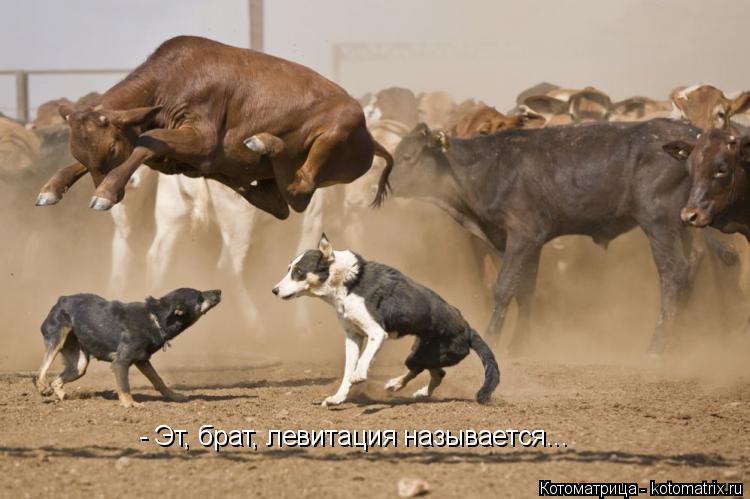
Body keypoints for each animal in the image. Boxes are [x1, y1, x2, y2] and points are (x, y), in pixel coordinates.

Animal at [33, 290, 222, 406]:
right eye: (199, 297)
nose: (219, 290)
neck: (156, 318)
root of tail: (61, 299)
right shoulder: (120, 362)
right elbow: (124, 385)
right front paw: (129, 403)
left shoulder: (142, 360)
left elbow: (158, 380)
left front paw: (174, 396)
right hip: (57, 338)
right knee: (40, 371)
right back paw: (42, 387)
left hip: (79, 366)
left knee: (56, 380)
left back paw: (61, 395)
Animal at [274, 234, 502, 406]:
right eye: (289, 269)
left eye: (299, 272)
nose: (274, 290)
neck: (349, 281)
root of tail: (469, 330)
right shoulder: (353, 337)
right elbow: (347, 369)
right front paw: (338, 398)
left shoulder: (377, 332)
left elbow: (362, 361)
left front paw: (359, 375)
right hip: (421, 351)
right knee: (437, 373)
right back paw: (406, 388)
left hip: (429, 354)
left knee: (428, 371)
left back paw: (398, 385)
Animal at [390, 120, 732, 356]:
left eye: (408, 156)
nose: (389, 185)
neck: (488, 168)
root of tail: (691, 134)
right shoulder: (532, 241)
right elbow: (525, 290)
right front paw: (519, 344)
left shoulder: (522, 235)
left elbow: (504, 288)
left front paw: (495, 339)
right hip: (680, 226)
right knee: (689, 270)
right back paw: (680, 343)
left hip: (657, 221)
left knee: (674, 273)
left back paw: (656, 347)